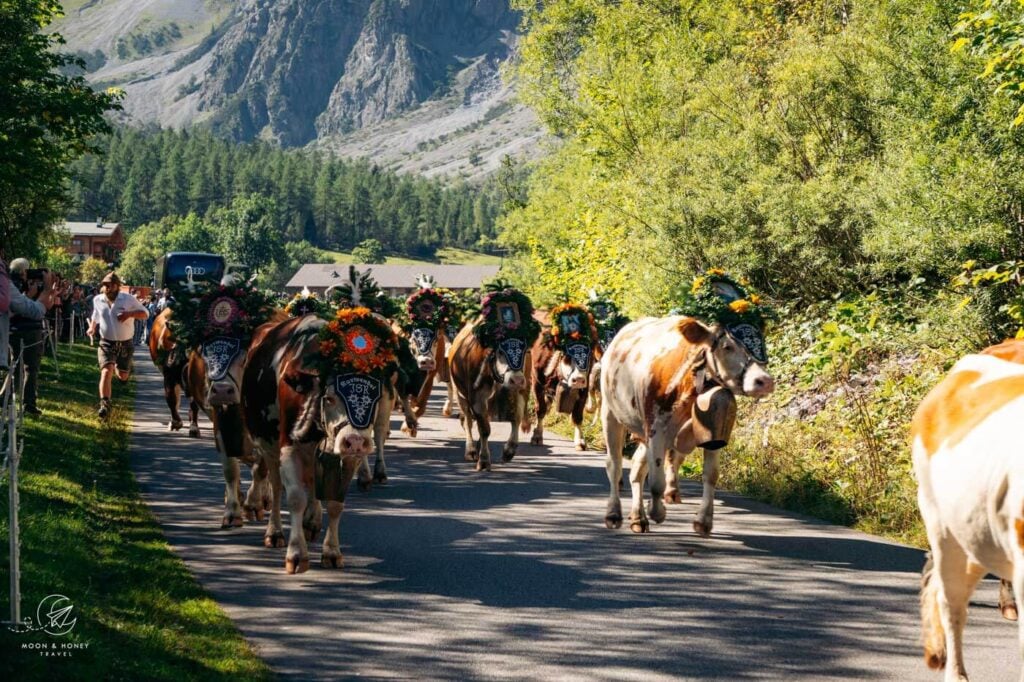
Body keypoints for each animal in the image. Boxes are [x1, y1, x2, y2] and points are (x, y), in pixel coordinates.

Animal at [241, 311, 397, 569]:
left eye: (374, 397)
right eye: (329, 398)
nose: (354, 441)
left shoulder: (348, 457)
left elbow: (335, 503)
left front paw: (332, 551)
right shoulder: (288, 447)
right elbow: (295, 497)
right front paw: (296, 554)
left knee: (312, 482)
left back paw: (311, 522)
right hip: (267, 443)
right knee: (275, 484)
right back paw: (274, 532)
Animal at [598, 315, 770, 532]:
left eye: (760, 344)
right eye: (727, 347)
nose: (765, 380)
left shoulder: (712, 431)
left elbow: (710, 475)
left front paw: (703, 521)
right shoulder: (655, 427)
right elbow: (656, 481)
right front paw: (657, 511)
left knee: (637, 468)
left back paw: (638, 517)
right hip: (610, 414)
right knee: (615, 465)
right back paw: (613, 514)